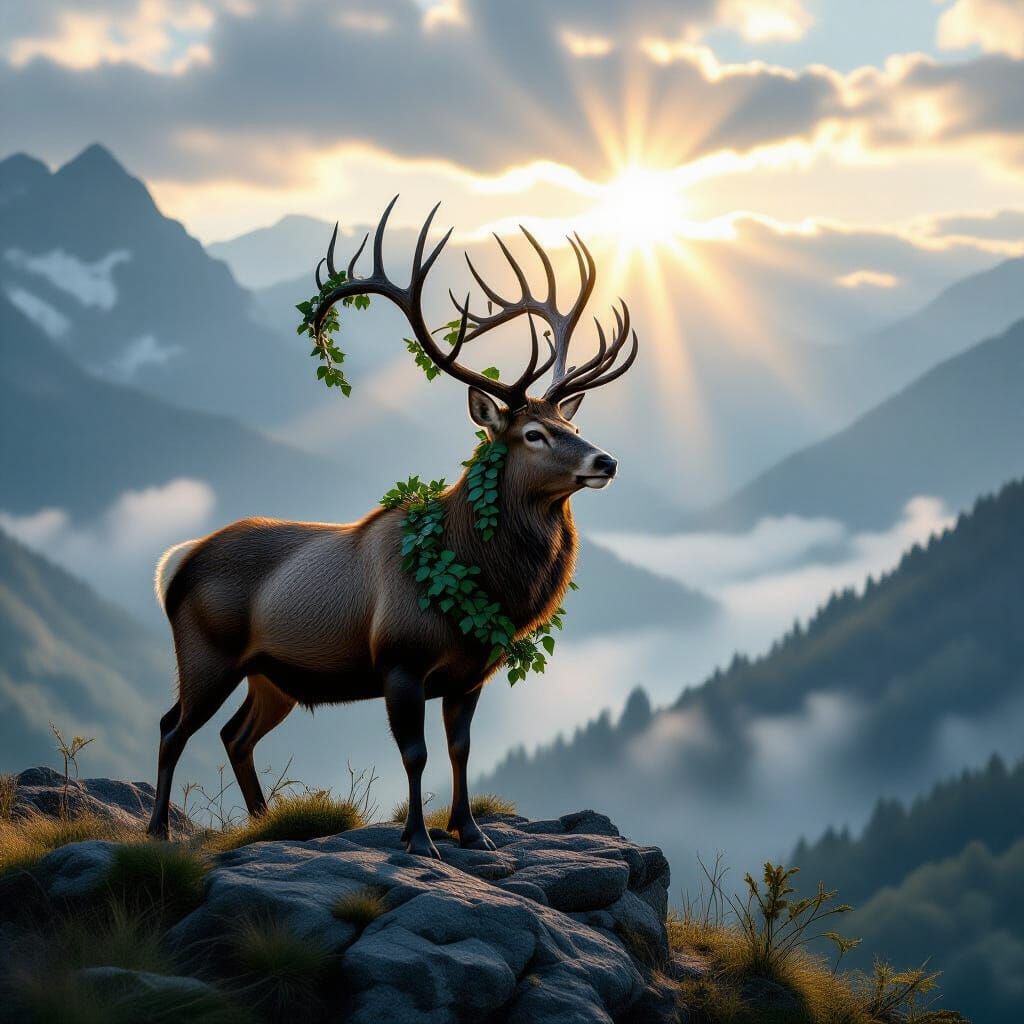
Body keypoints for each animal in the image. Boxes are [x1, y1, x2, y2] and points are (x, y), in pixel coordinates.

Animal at [146, 198, 639, 857]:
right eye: (533, 433)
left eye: (570, 423)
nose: (605, 461)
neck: (482, 576)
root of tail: (175, 565)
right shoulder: (400, 662)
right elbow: (415, 752)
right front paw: (419, 840)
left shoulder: (470, 674)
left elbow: (460, 749)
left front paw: (473, 832)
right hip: (206, 652)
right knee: (173, 727)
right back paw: (157, 830)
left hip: (271, 676)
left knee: (234, 735)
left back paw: (262, 821)